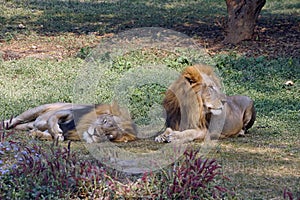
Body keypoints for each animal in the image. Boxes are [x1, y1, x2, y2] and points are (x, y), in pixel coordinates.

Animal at [3, 102, 137, 143]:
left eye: (109, 136)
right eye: (105, 121)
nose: (95, 133)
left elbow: (49, 134)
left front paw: (37, 134)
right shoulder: (68, 112)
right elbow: (52, 119)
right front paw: (56, 131)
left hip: (26, 125)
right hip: (37, 110)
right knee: (18, 119)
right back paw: (5, 123)